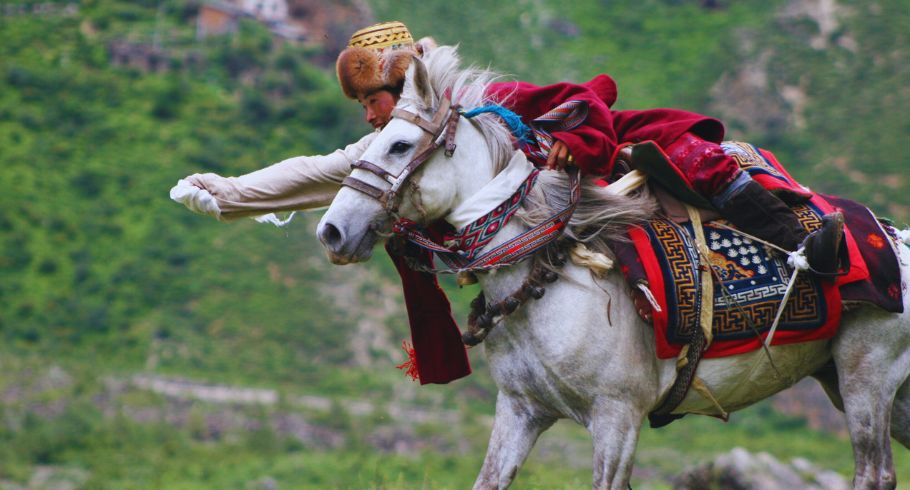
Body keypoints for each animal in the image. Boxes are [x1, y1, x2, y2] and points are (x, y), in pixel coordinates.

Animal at [318, 45, 910, 486]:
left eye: (399, 145)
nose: (332, 231)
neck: (549, 279)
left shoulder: (617, 417)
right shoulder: (521, 411)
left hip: (866, 372)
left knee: (874, 472)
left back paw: (818, 248)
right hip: (863, 383)